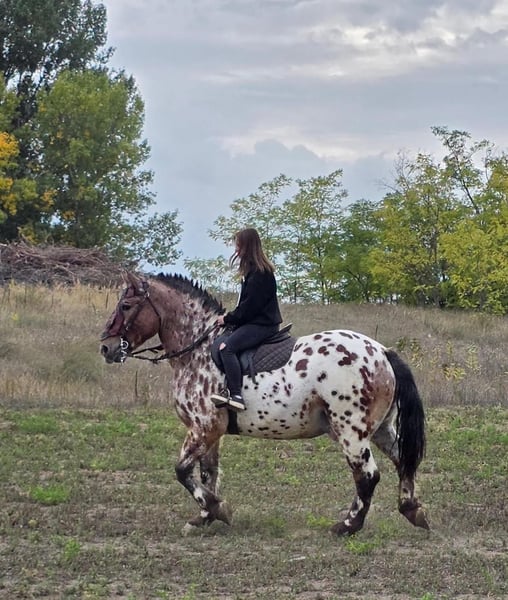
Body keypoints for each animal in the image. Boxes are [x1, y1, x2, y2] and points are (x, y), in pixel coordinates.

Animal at [100, 271, 429, 536]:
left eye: (126, 306)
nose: (106, 348)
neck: (198, 350)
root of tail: (383, 352)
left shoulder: (203, 427)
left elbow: (182, 471)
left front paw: (218, 509)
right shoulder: (210, 431)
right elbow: (207, 473)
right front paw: (204, 517)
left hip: (351, 432)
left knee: (368, 475)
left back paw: (347, 526)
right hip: (380, 428)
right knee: (403, 461)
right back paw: (412, 510)